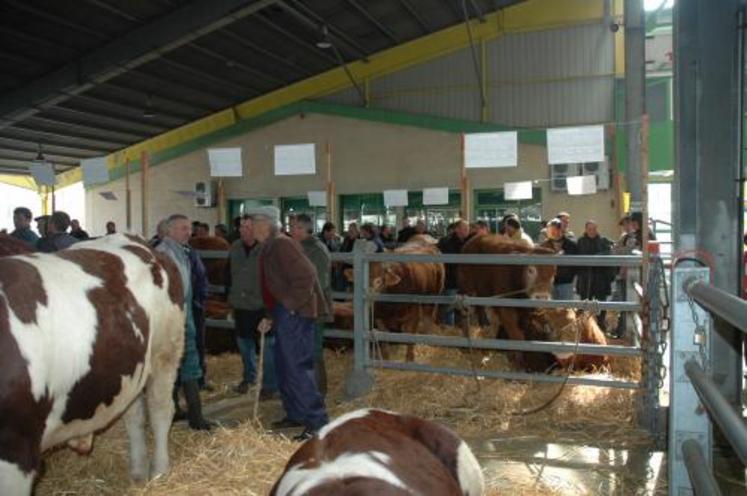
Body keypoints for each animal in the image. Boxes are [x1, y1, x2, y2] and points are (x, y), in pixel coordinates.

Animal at [0, 234, 186, 494]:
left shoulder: (17, 447)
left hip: (166, 351)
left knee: (160, 410)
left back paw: (159, 473)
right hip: (132, 368)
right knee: (134, 415)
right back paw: (138, 474)